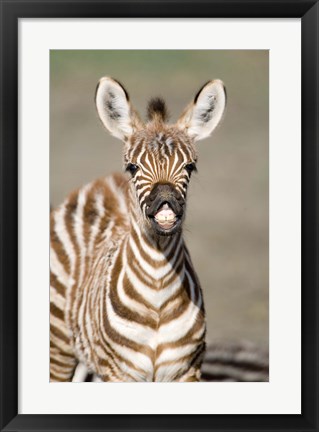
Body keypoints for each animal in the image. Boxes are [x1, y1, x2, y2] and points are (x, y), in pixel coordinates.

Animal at [50, 77, 226, 382]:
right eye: (132, 167)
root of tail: (103, 182)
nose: (165, 203)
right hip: (59, 344)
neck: (157, 290)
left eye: (190, 167)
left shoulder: (187, 371)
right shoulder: (120, 373)